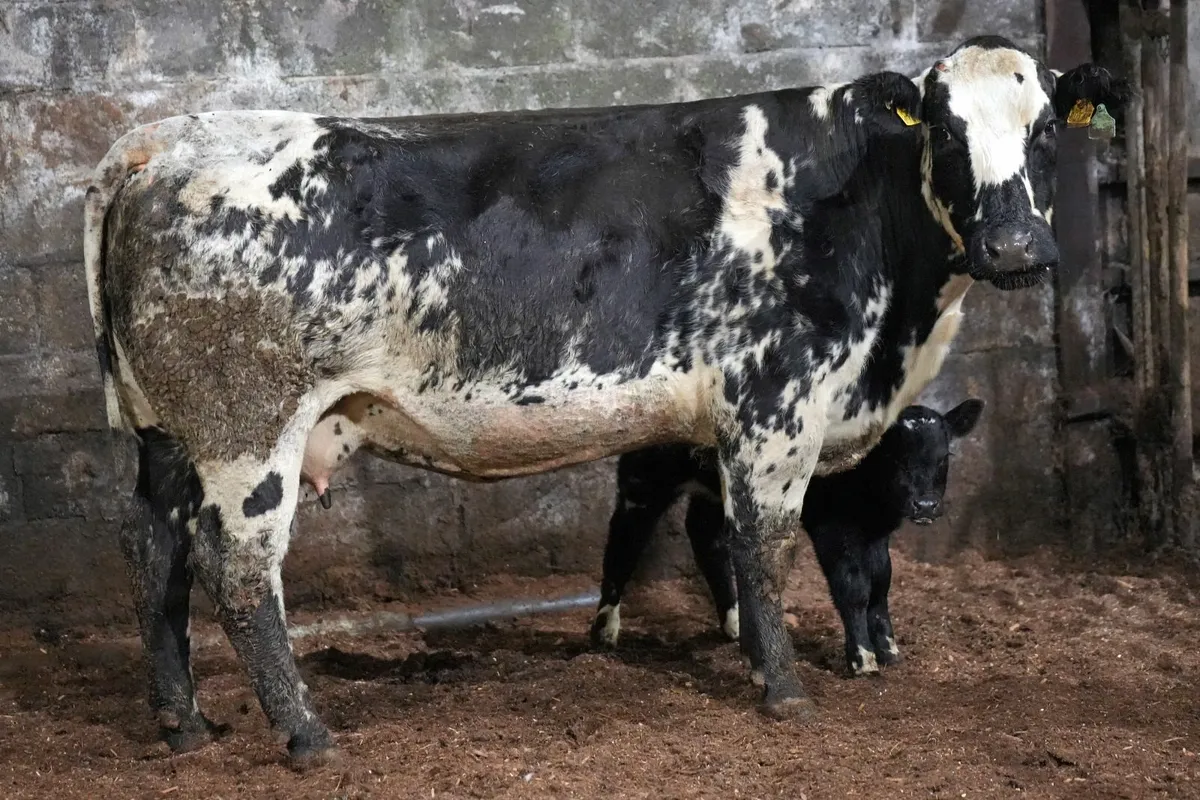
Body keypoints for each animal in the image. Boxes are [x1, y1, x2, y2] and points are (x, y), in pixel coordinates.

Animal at [590, 399, 985, 678]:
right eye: (892, 455)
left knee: (705, 537)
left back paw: (735, 624)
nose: (926, 505)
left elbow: (880, 586)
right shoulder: (832, 524)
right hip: (645, 477)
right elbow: (853, 588)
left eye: (944, 456)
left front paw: (889, 649)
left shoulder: (875, 532)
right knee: (623, 541)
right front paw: (862, 658)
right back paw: (605, 630)